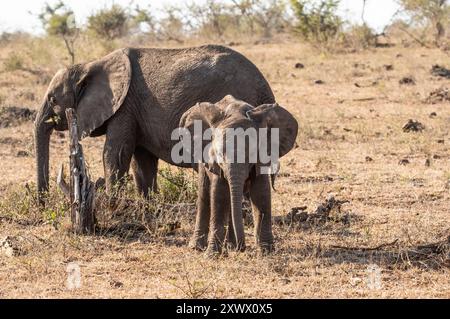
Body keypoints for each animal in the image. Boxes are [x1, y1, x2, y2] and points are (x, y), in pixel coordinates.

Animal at [34, 44, 274, 201]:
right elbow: (141, 160)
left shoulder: (125, 106)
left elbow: (115, 153)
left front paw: (112, 203)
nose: (43, 202)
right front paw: (147, 204)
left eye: (53, 100)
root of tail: (265, 88)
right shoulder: (136, 110)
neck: (91, 64)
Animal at [179, 96, 298, 256]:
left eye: (252, 154)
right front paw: (212, 255)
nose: (243, 247)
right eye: (219, 155)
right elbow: (219, 194)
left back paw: (231, 245)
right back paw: (198, 247)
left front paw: (266, 252)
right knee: (205, 194)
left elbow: (261, 193)